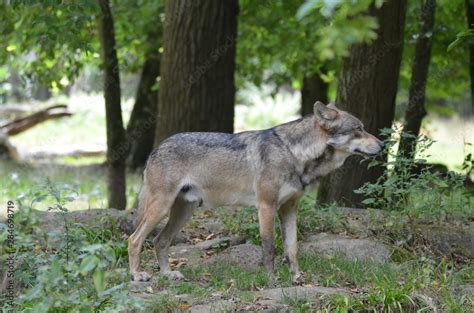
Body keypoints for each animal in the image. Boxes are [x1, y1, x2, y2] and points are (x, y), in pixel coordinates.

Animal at [128, 102, 384, 282]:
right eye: (359, 129)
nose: (382, 145)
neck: (294, 153)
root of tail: (156, 148)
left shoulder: (290, 209)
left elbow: (292, 248)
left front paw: (297, 278)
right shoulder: (266, 207)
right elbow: (269, 247)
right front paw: (271, 280)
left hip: (183, 212)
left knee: (159, 241)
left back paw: (168, 274)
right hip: (162, 208)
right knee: (134, 239)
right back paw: (137, 275)